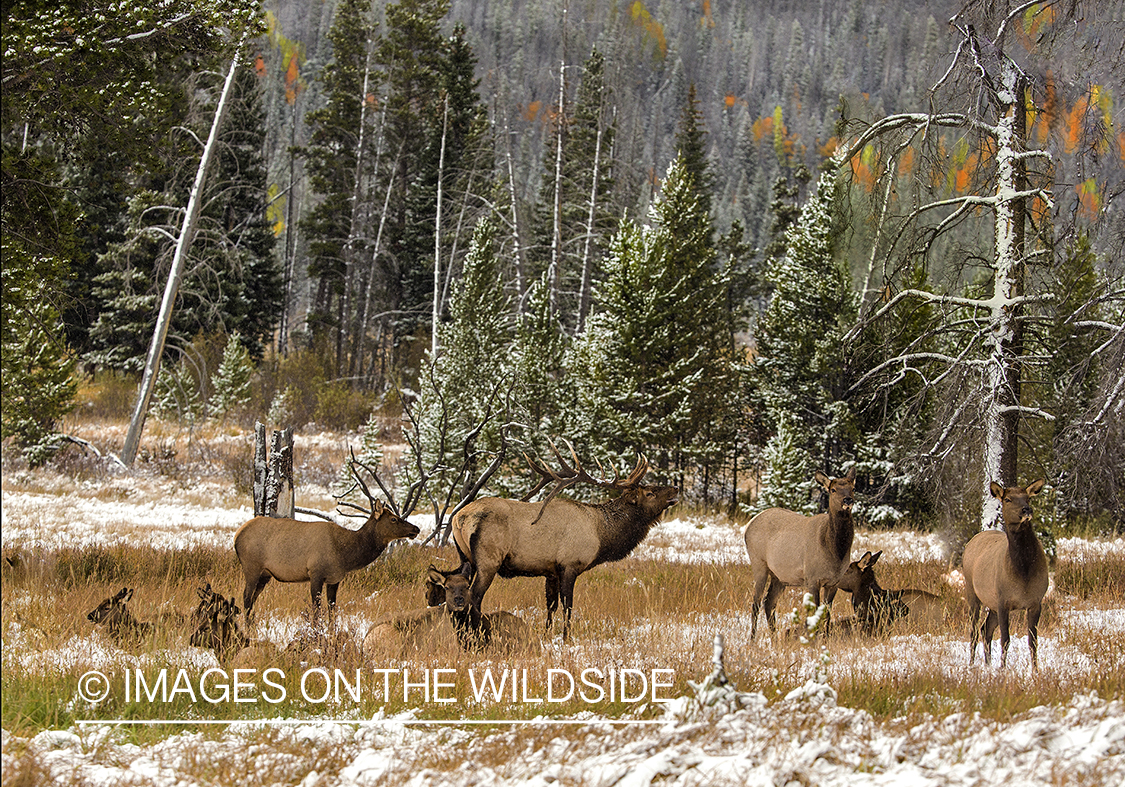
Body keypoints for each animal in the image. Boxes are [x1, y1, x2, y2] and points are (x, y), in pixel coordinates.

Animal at [447, 440, 675, 643]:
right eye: (650, 493)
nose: (675, 488)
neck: (601, 536)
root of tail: (459, 518)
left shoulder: (551, 571)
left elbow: (551, 605)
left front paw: (547, 634)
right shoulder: (569, 564)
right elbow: (568, 605)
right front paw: (567, 638)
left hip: (466, 559)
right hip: (489, 560)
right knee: (475, 598)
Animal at [742, 467, 855, 638]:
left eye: (853, 488)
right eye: (833, 490)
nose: (847, 500)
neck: (835, 551)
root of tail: (748, 525)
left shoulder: (834, 582)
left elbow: (827, 614)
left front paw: (826, 637)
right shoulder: (812, 578)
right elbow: (815, 613)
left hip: (780, 576)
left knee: (769, 602)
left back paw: (774, 638)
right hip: (759, 564)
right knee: (756, 602)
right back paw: (753, 639)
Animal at [963, 478, 1048, 670]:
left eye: (1028, 498)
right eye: (1008, 499)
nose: (1026, 510)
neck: (1023, 572)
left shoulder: (1036, 601)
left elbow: (1033, 641)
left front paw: (1036, 671)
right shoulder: (1003, 600)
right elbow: (1005, 639)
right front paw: (1002, 669)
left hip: (991, 602)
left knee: (985, 629)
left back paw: (987, 665)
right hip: (972, 592)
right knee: (974, 631)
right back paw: (971, 664)